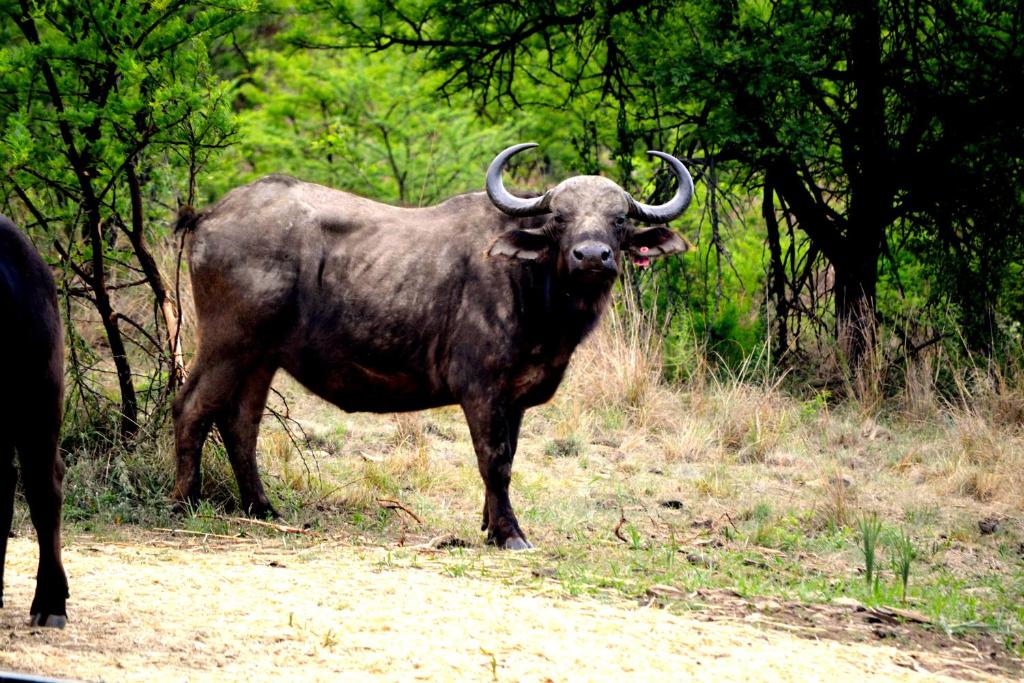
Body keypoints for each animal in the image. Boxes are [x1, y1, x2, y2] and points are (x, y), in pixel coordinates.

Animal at [173, 143, 693, 549]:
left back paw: (261, 507)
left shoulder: (515, 398)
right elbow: (495, 460)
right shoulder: (481, 390)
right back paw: (185, 501)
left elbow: (509, 456)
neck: (535, 290)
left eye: (618, 220)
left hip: (260, 359)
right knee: (192, 407)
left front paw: (490, 524)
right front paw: (509, 534)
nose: (592, 256)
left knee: (241, 424)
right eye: (559, 218)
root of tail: (210, 215)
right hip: (227, 344)